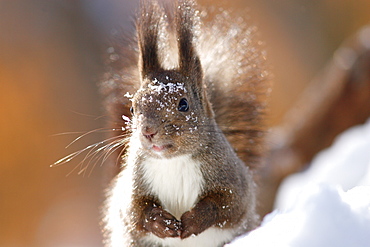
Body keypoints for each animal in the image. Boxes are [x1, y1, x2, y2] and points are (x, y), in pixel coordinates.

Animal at [101, 0, 268, 247]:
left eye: (183, 104)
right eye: (132, 108)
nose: (148, 131)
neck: (173, 161)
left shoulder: (233, 181)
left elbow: (226, 204)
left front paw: (194, 219)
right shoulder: (133, 184)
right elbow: (136, 211)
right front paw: (160, 222)